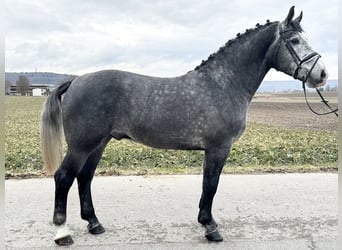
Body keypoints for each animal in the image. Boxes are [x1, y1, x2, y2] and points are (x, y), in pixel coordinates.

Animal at [41, 6, 328, 245]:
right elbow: (211, 185)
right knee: (64, 177)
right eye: (295, 41)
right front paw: (210, 228)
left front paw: (206, 223)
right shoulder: (218, 148)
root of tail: (76, 80)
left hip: (98, 143)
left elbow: (208, 186)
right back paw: (63, 233)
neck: (223, 83)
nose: (323, 74)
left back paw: (94, 224)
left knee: (84, 178)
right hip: (81, 145)